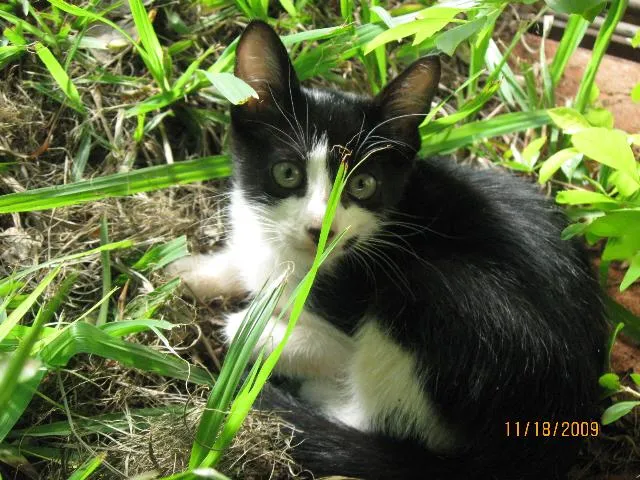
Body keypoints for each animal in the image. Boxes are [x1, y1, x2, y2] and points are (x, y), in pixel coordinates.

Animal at [168, 20, 608, 480]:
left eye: (363, 184)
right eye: (287, 173)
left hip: (439, 294)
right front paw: (192, 272)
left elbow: (299, 341)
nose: (319, 230)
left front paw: (253, 331)